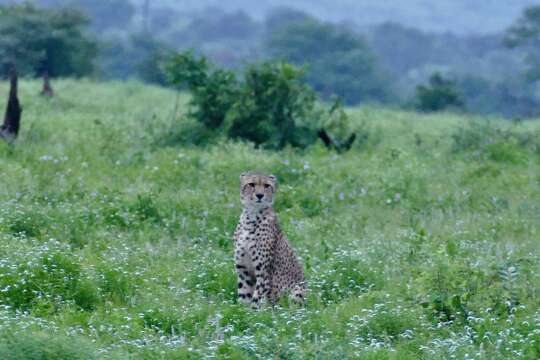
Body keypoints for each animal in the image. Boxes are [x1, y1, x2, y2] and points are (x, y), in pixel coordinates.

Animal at [234, 172, 306, 306]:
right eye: (251, 184)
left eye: (267, 186)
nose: (259, 195)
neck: (251, 216)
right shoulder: (243, 271)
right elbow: (244, 297)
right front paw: (240, 310)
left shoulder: (263, 273)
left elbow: (256, 299)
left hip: (298, 290)